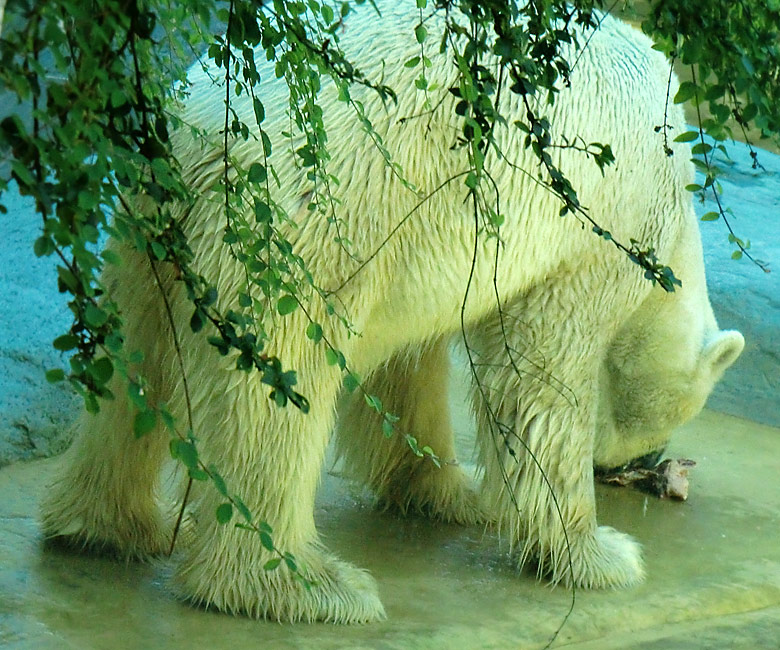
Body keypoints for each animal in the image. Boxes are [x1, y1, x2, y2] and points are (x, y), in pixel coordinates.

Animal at [41, 2, 744, 620]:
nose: (631, 468)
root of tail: (194, 134)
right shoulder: (599, 225)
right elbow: (541, 373)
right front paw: (598, 554)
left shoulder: (423, 240)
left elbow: (408, 360)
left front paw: (450, 491)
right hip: (301, 221)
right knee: (278, 380)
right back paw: (309, 588)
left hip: (146, 225)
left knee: (131, 354)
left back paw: (105, 526)